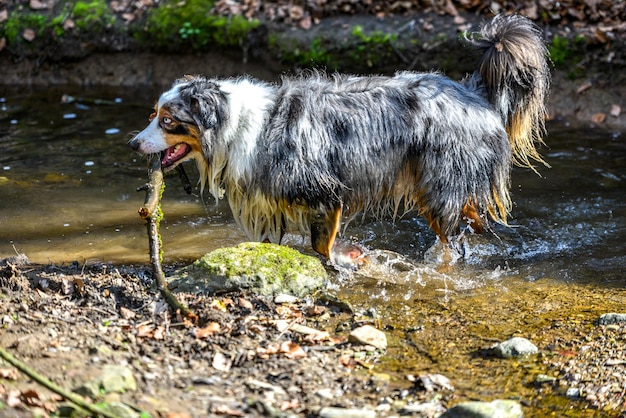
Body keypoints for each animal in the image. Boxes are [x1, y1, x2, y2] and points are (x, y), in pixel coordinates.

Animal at [130, 14, 544, 266]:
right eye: (153, 115)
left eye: (168, 121)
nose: (133, 144)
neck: (235, 124)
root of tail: (472, 93)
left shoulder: (323, 191)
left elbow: (320, 245)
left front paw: (339, 264)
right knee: (474, 215)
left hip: (440, 183)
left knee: (453, 236)